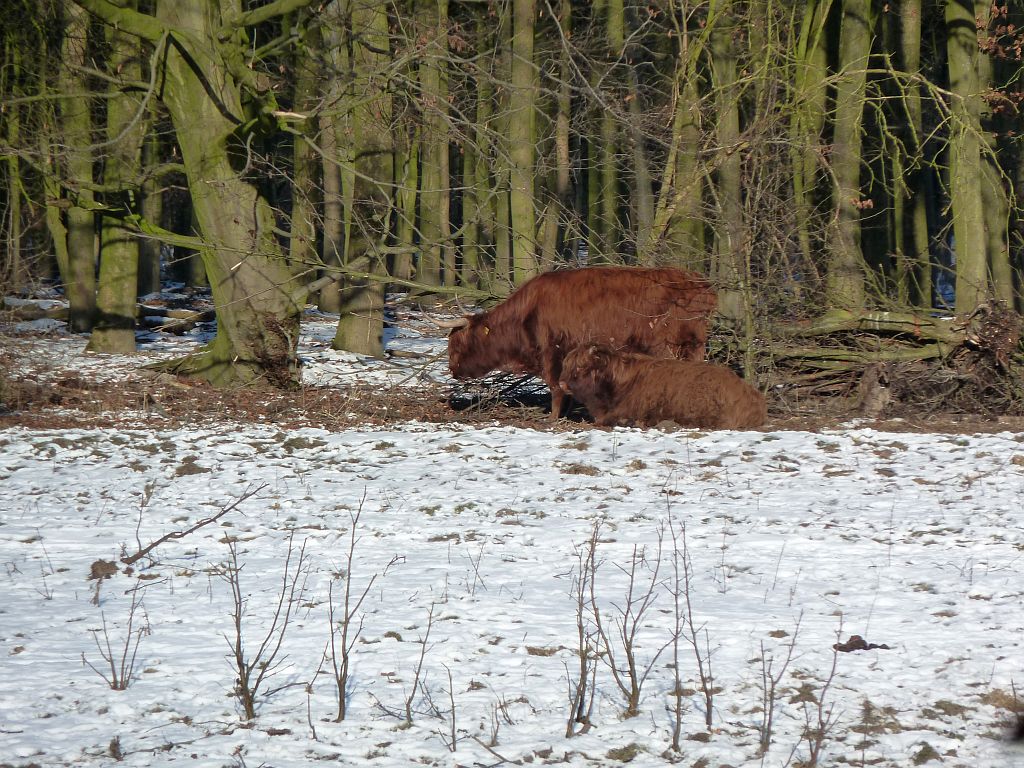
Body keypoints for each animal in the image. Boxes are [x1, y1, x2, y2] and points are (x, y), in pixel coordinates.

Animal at [440, 266, 720, 421]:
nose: (452, 370)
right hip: (695, 343)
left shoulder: (552, 349)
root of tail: (700, 284)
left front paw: (554, 417)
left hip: (666, 344)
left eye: (457, 343)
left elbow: (556, 387)